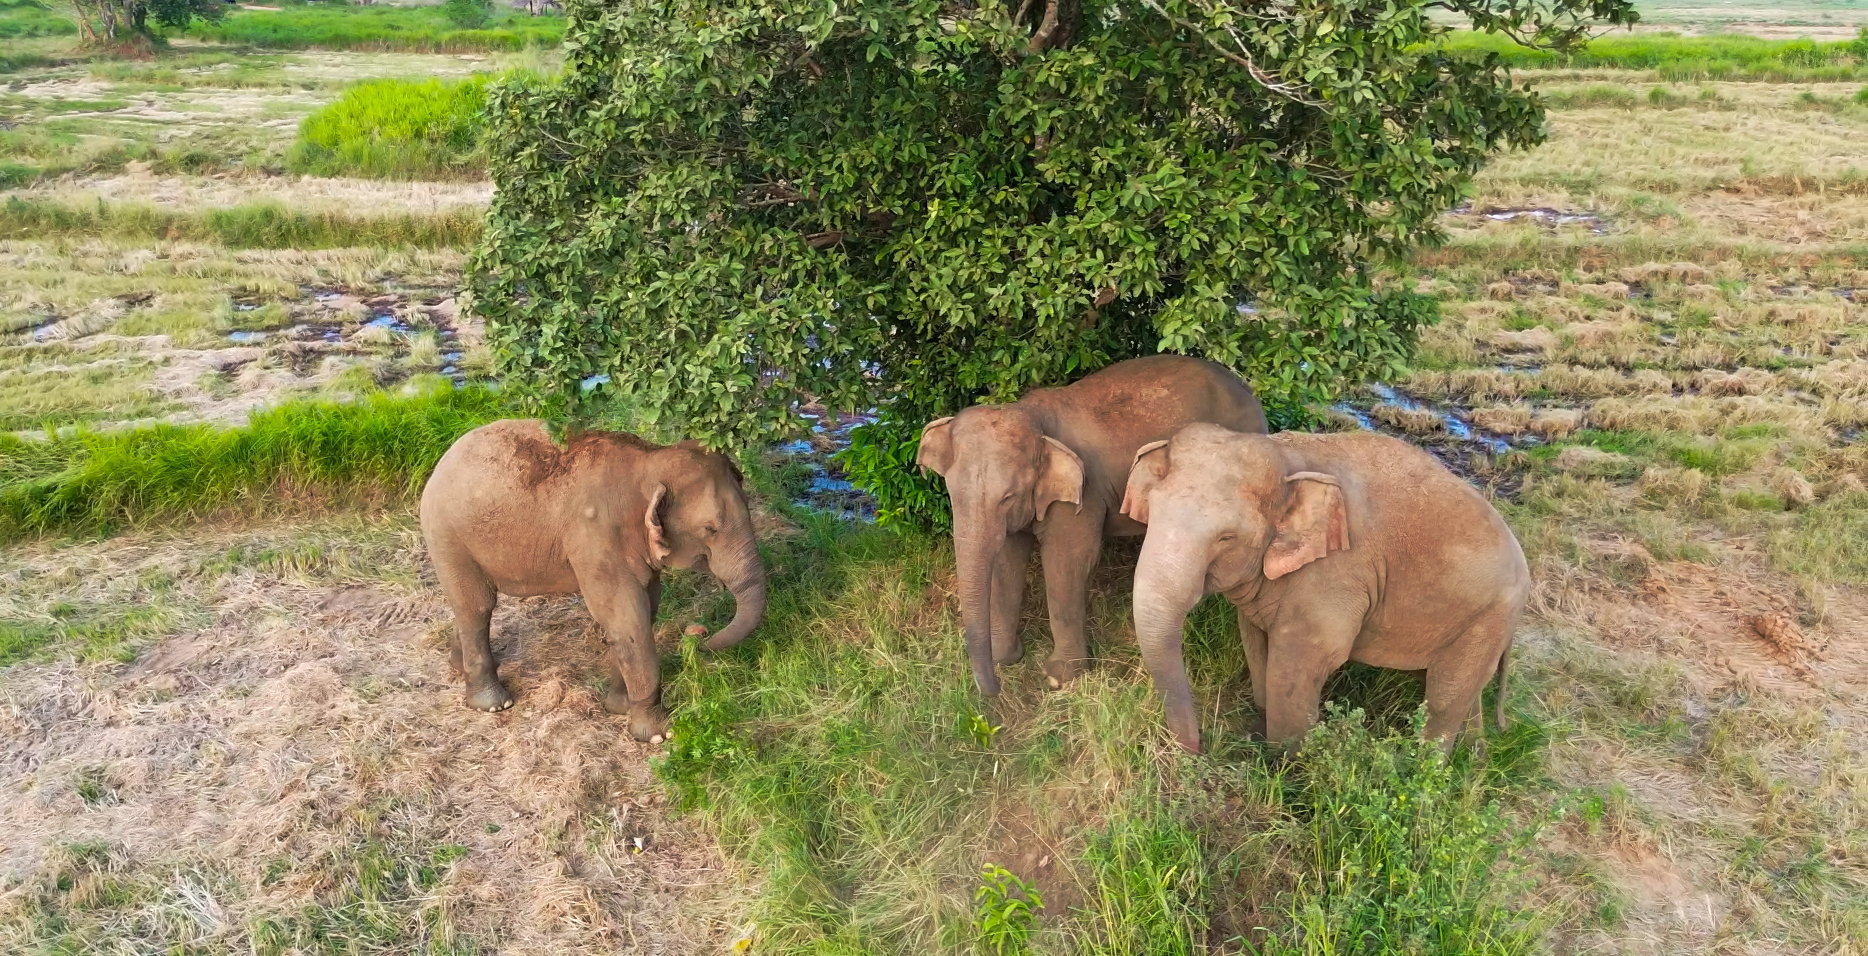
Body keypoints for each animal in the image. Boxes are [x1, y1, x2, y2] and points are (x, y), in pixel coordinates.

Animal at [419, 420, 768, 742]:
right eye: (710, 529)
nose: (699, 638)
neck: (649, 460)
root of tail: (443, 460)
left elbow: (646, 607)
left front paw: (619, 708)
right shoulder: (594, 536)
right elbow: (626, 616)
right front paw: (657, 735)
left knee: (471, 606)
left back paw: (457, 666)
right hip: (447, 535)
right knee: (478, 605)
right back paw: (494, 704)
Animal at [917, 354, 1267, 696]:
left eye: (1008, 496)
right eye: (950, 489)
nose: (994, 690)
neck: (1031, 414)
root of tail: (1250, 392)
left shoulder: (1083, 497)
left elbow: (1068, 563)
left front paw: (1058, 679)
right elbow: (1007, 561)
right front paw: (1006, 658)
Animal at [1119, 423, 1529, 754]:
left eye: (1226, 538)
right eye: (1152, 510)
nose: (1195, 749)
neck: (1288, 456)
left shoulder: (1337, 576)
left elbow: (1297, 664)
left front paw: (1286, 768)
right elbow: (1255, 642)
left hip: (1490, 618)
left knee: (1445, 698)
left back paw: (1425, 769)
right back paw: (1474, 757)